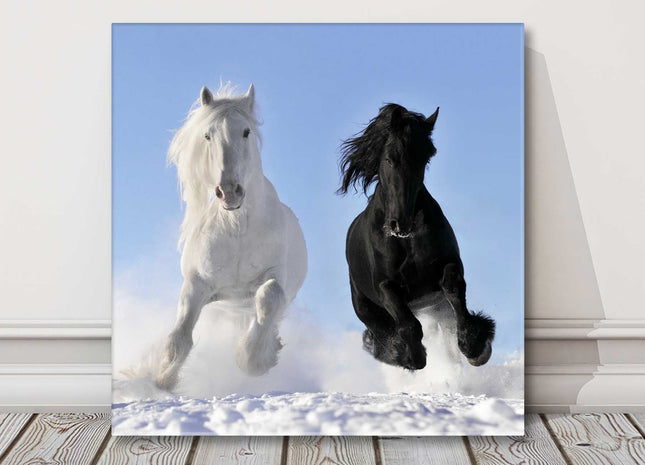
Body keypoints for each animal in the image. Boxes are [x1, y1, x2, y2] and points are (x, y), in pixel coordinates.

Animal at [155, 83, 307, 390]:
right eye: (207, 135)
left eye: (246, 131)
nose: (229, 191)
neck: (236, 229)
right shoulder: (197, 284)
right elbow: (179, 337)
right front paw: (162, 379)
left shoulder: (276, 277)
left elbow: (269, 298)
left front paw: (254, 360)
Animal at [338, 103, 495, 371]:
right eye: (389, 158)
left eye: (424, 159)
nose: (400, 223)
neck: (405, 241)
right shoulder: (385, 286)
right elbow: (408, 324)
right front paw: (411, 356)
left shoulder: (448, 266)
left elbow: (455, 291)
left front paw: (475, 346)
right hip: (366, 309)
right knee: (383, 333)